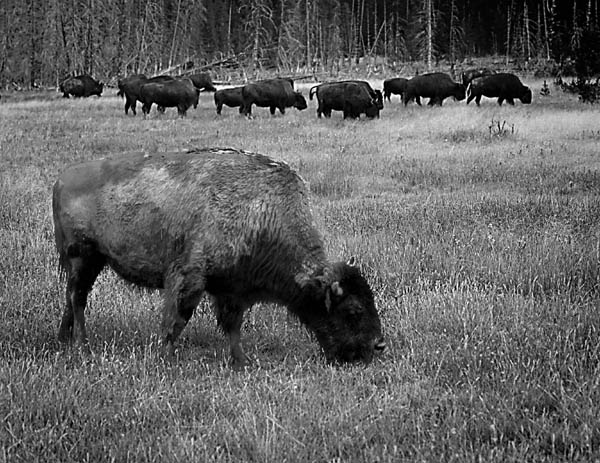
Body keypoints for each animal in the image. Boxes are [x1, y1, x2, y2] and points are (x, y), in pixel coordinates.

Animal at [54, 147, 386, 368]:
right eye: (354, 310)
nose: (378, 344)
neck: (261, 213)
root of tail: (62, 178)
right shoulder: (189, 278)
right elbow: (177, 319)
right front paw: (165, 358)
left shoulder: (232, 290)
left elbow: (232, 326)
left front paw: (241, 361)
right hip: (83, 258)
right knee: (78, 299)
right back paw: (82, 345)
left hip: (88, 263)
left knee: (71, 298)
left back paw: (63, 340)